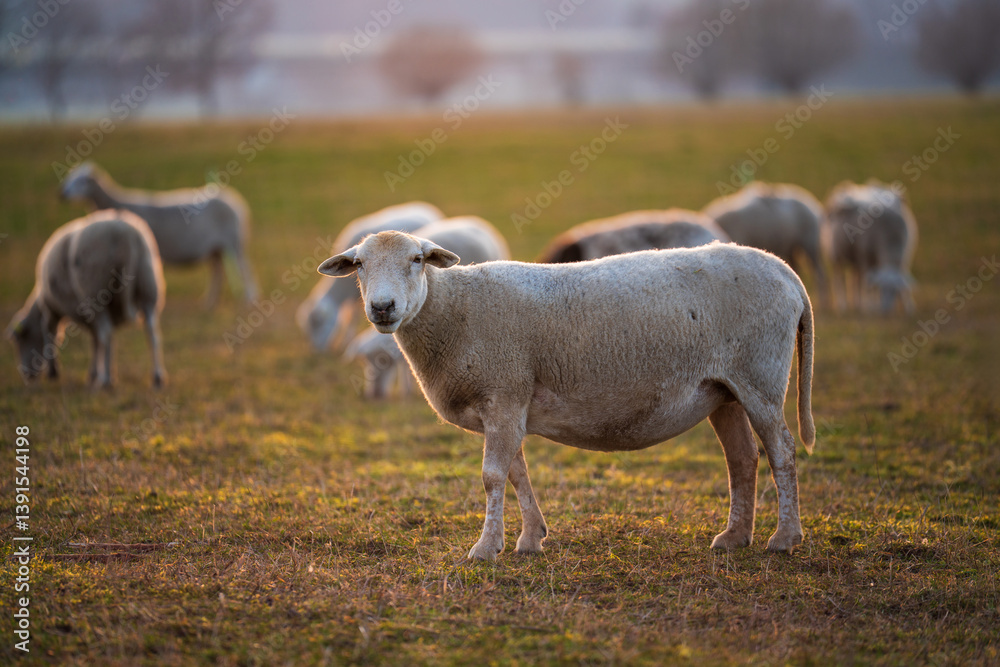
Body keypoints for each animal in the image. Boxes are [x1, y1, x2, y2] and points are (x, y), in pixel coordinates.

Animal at [6, 209, 166, 388]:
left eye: (19, 340)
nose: (26, 375)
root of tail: (125, 235)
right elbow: (99, 341)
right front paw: (99, 373)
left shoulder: (52, 310)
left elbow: (52, 334)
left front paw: (55, 372)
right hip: (148, 287)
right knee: (152, 332)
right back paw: (157, 377)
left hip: (94, 288)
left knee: (106, 333)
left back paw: (104, 381)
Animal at [60, 162, 257, 309]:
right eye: (70, 177)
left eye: (82, 181)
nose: (61, 192)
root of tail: (234, 200)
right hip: (214, 249)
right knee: (218, 272)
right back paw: (209, 302)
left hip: (235, 242)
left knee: (244, 269)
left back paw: (249, 299)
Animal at [297, 202, 445, 351]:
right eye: (358, 263)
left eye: (319, 323)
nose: (317, 351)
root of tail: (422, 206)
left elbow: (352, 317)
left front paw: (347, 340)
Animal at [822, 180, 917, 314]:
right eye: (882, 288)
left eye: (895, 291)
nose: (886, 310)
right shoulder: (865, 256)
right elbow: (868, 285)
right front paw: (869, 306)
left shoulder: (905, 257)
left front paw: (908, 306)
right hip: (836, 254)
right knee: (839, 279)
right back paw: (843, 305)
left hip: (855, 256)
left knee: (854, 279)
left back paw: (856, 303)